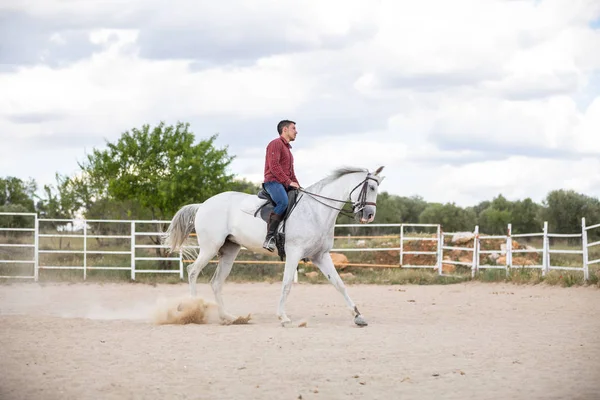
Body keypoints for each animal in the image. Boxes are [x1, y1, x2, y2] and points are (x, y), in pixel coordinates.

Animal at [162, 166, 382, 324]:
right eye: (371, 188)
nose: (370, 215)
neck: (316, 211)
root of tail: (203, 205)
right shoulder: (294, 253)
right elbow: (286, 284)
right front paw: (283, 316)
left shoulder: (320, 256)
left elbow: (339, 284)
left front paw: (358, 315)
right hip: (210, 248)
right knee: (192, 271)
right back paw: (193, 311)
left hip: (229, 251)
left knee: (216, 283)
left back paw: (229, 317)